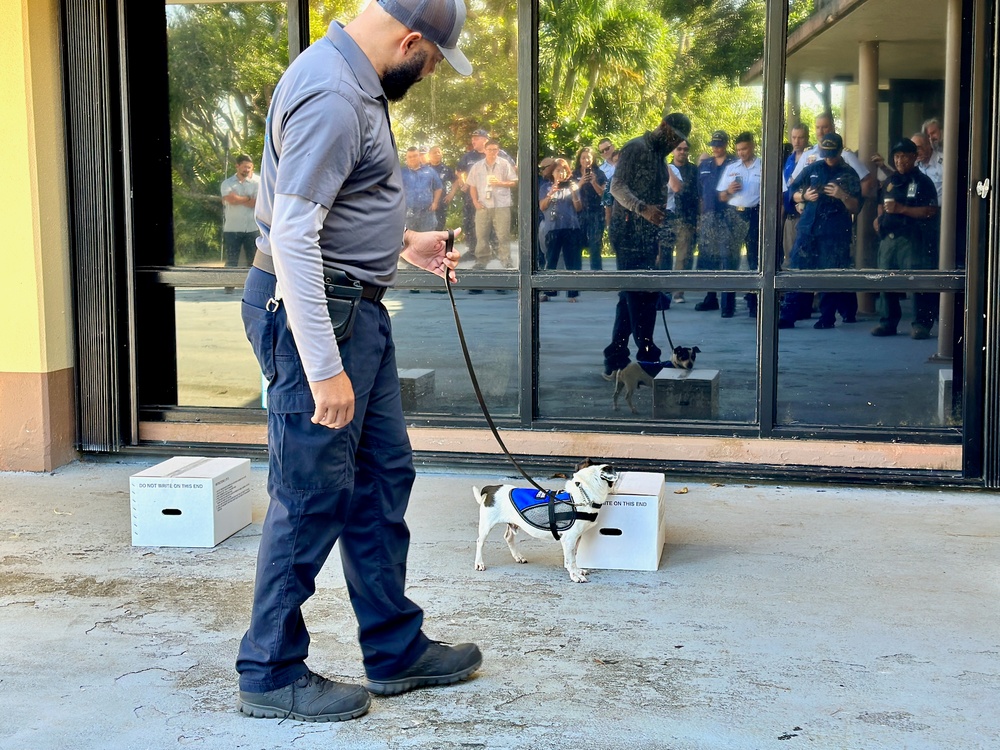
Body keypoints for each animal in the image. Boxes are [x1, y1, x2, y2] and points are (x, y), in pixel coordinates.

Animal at [470, 464, 616, 588]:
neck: (582, 495)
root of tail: (492, 488)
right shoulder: (569, 538)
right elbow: (571, 559)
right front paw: (575, 576)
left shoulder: (576, 538)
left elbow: (573, 556)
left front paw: (576, 570)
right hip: (486, 524)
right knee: (480, 542)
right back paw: (479, 563)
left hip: (512, 523)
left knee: (508, 537)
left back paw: (518, 556)